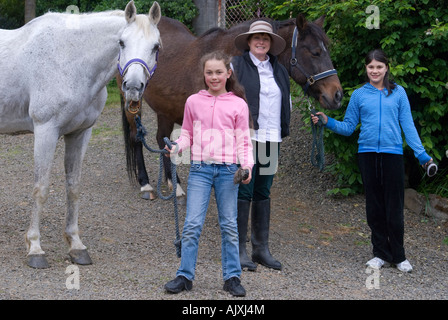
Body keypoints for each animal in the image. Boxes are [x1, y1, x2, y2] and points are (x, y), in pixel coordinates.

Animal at [117, 14, 342, 200]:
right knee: (136, 137)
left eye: (327, 49)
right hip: (133, 102)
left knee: (162, 140)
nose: (337, 95)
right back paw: (146, 185)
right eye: (315, 52)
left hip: (165, 109)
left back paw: (175, 185)